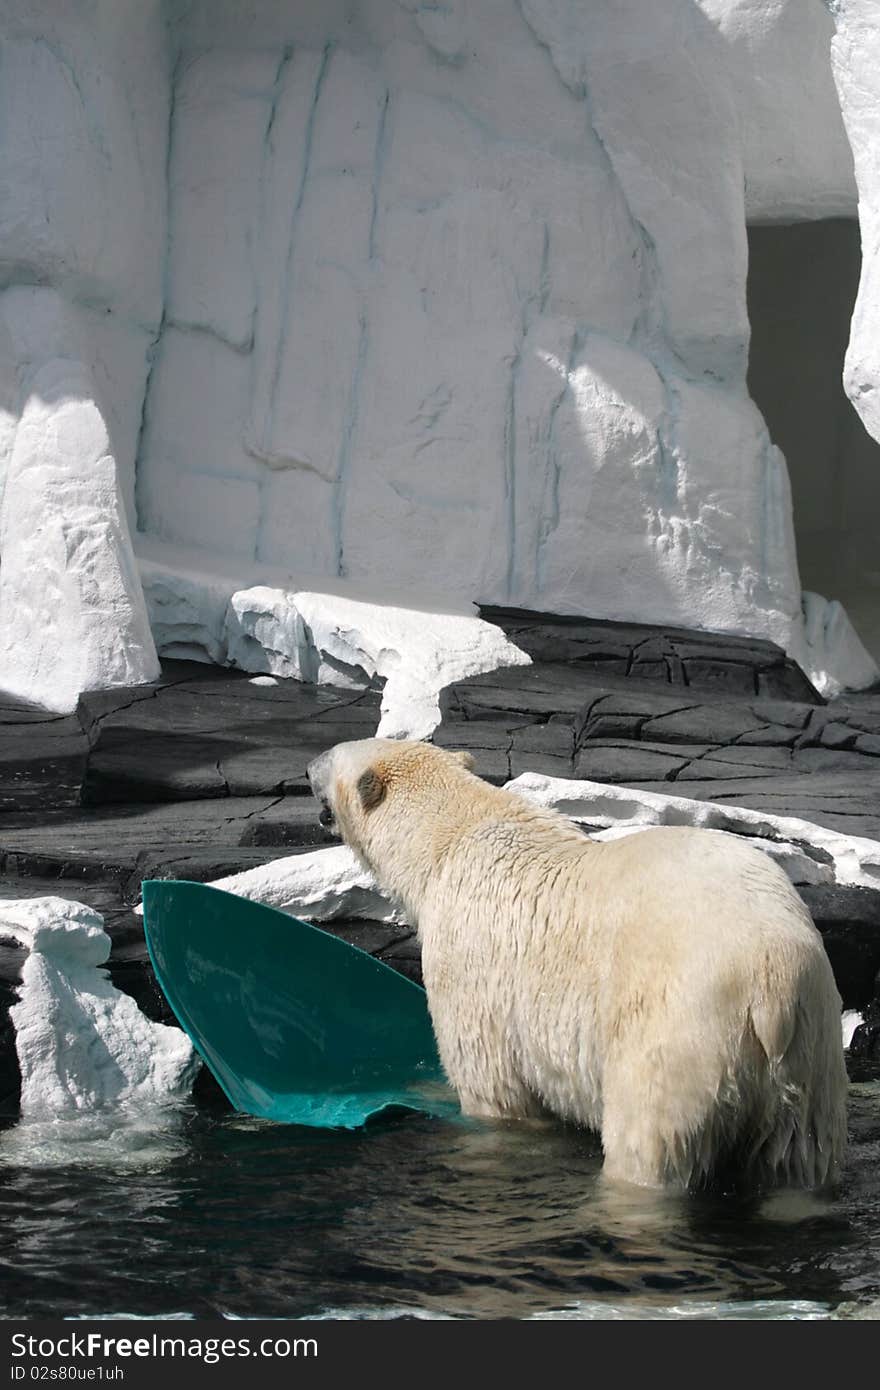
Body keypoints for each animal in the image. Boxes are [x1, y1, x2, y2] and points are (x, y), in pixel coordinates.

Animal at [307, 739, 845, 1195]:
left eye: (331, 757)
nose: (307, 766)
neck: (451, 841)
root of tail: (772, 986)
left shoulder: (470, 966)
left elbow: (492, 1087)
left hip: (681, 1031)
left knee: (648, 1139)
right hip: (811, 1052)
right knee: (797, 1158)